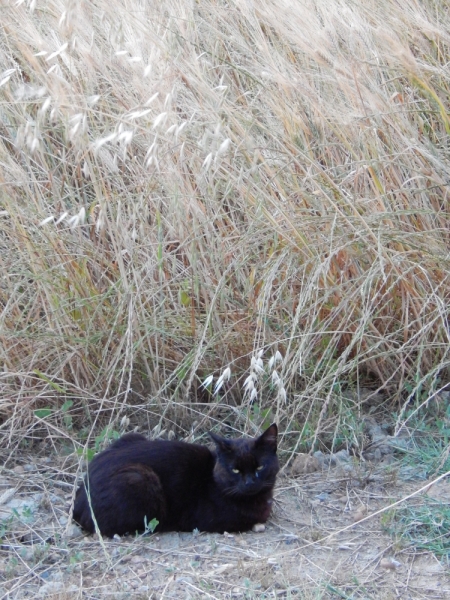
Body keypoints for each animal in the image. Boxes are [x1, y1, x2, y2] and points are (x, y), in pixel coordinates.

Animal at [72, 424, 278, 536]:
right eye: (235, 469)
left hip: (132, 437)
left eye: (259, 467)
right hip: (139, 477)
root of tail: (78, 499)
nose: (249, 482)